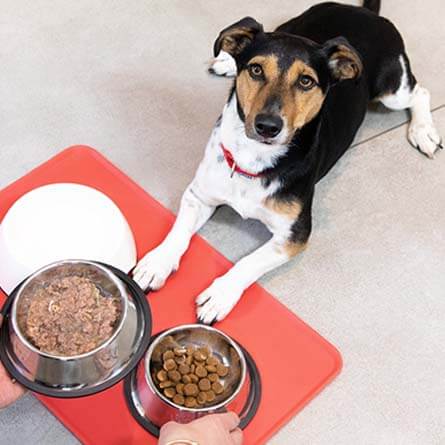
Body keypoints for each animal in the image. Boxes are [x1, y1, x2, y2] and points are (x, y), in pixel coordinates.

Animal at [133, 0, 440, 322]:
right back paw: (227, 61)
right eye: (256, 70)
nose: (267, 126)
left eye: (306, 81)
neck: (254, 157)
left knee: (420, 92)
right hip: (286, 26)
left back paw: (423, 131)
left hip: (392, 90)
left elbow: (250, 261)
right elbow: (178, 233)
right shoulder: (199, 195)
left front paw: (220, 294)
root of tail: (365, 12)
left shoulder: (295, 235)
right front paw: (157, 263)